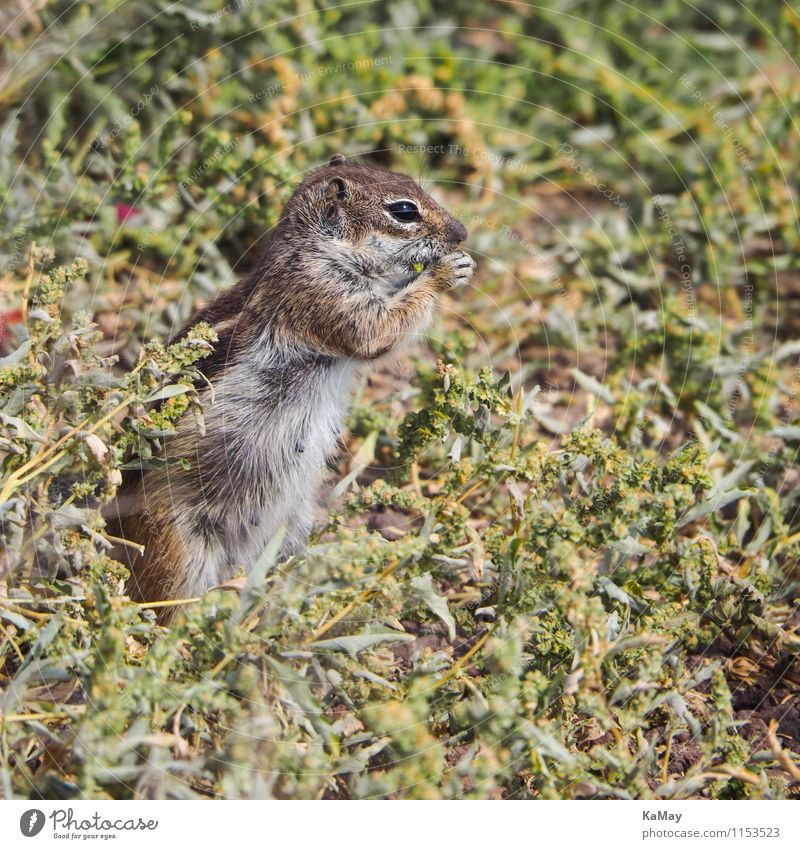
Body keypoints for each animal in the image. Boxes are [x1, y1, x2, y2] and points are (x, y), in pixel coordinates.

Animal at [108, 156, 472, 612]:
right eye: (404, 210)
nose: (462, 232)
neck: (314, 247)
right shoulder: (323, 293)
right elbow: (378, 329)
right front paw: (448, 270)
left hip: (293, 527)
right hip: (177, 549)